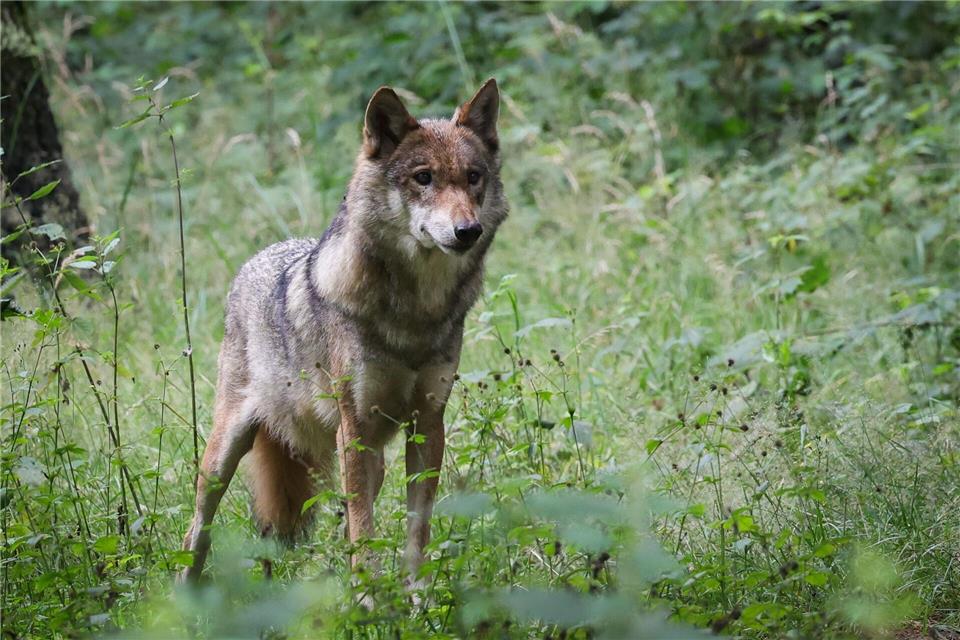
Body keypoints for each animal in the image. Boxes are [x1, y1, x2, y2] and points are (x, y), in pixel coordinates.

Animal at [179, 79, 507, 584]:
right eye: (424, 178)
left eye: (473, 177)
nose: (466, 231)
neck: (415, 312)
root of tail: (257, 257)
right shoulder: (352, 429)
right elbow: (363, 536)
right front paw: (370, 597)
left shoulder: (427, 425)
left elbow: (415, 533)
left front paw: (415, 597)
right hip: (224, 456)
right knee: (195, 532)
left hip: (372, 458)